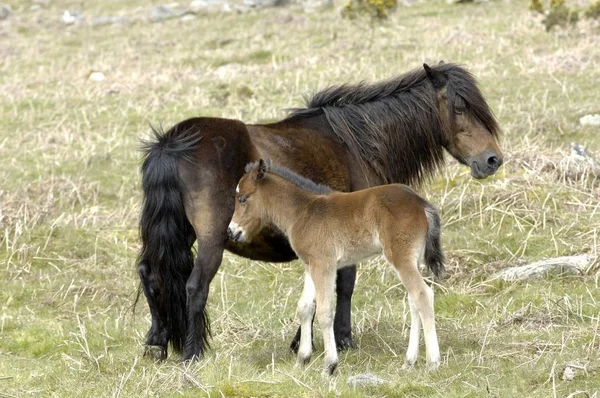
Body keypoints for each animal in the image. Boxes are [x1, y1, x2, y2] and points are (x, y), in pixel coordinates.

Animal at [230, 159, 446, 376]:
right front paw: (302, 359)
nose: (232, 232)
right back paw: (409, 361)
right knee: (413, 300)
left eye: (243, 198)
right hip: (411, 259)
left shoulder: (324, 264)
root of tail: (422, 203)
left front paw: (330, 365)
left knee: (422, 295)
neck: (302, 212)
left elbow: (325, 311)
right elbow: (305, 307)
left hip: (401, 257)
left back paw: (433, 362)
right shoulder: (310, 264)